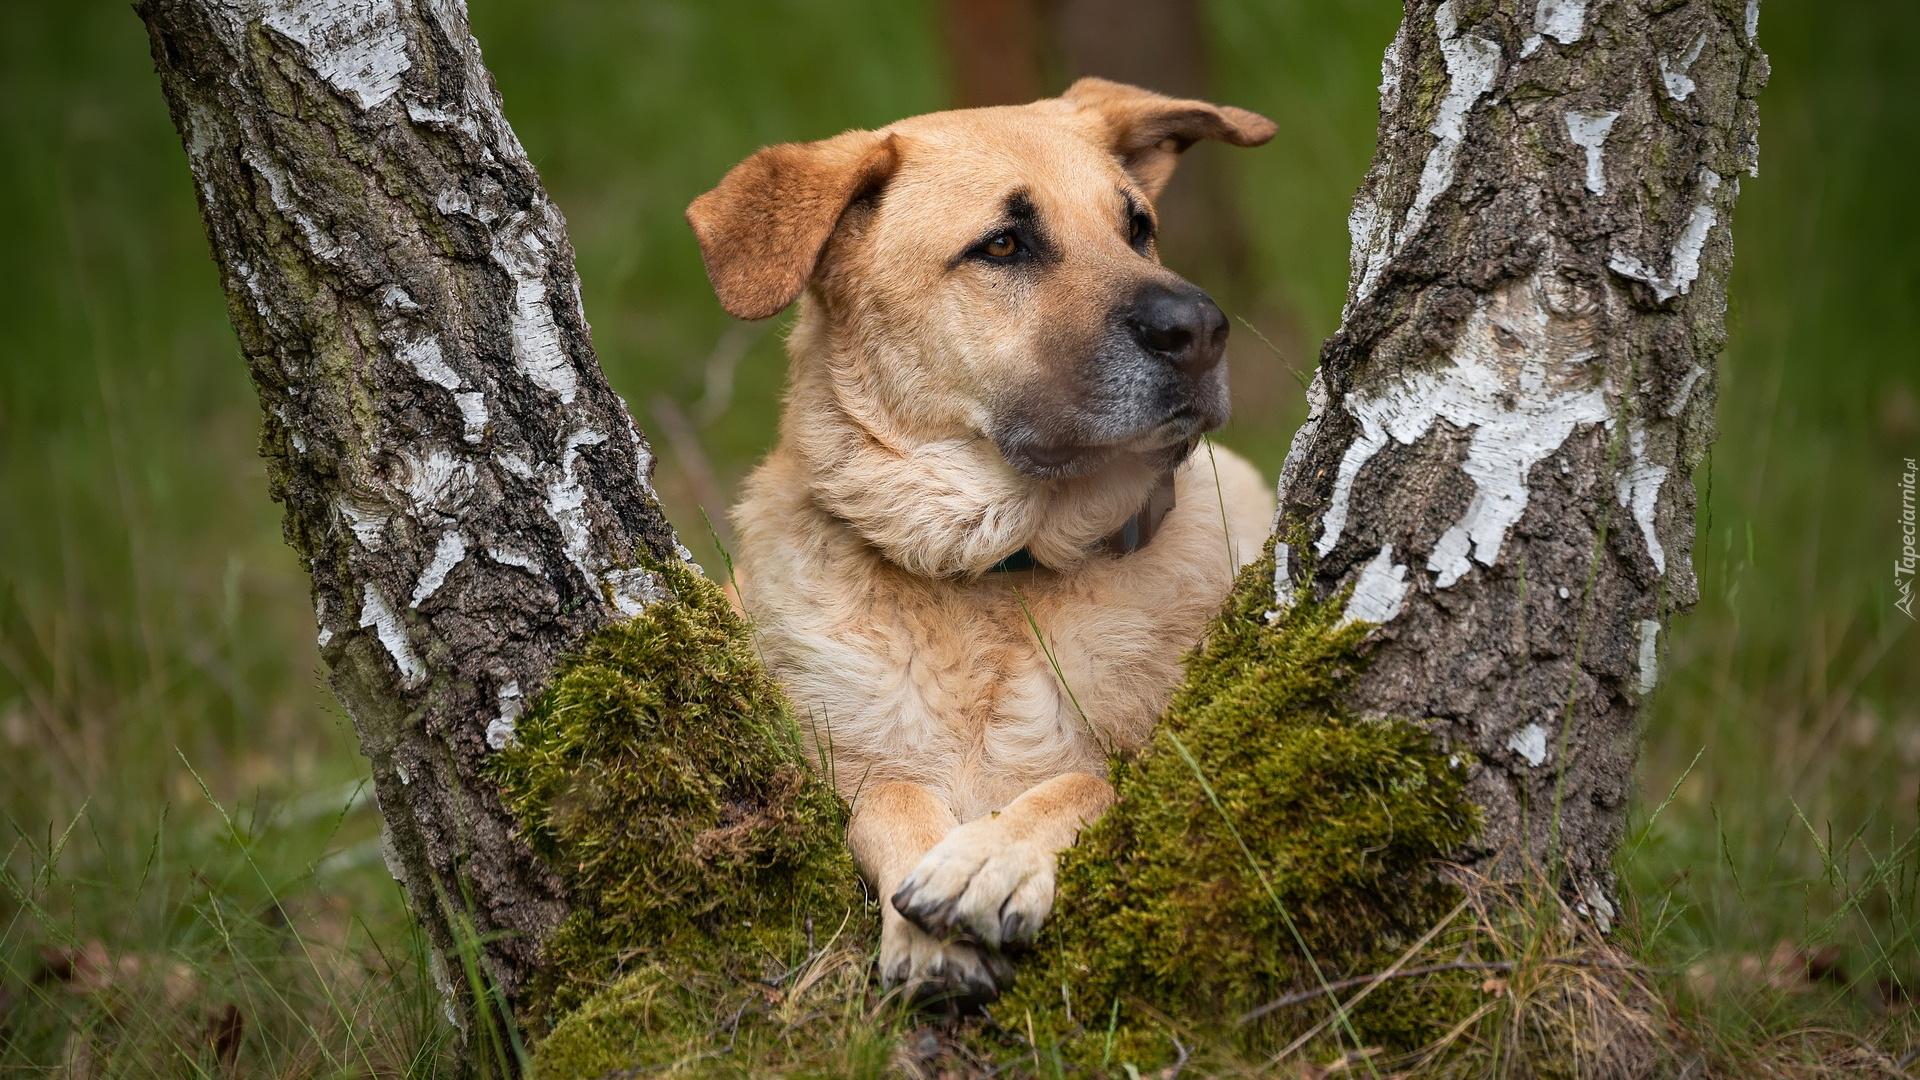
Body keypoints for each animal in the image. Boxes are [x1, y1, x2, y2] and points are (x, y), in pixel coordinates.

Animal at [683, 75, 1282, 999]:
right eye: (1002, 245)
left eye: (1138, 228)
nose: (1202, 330)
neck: (993, 575)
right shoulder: (841, 774)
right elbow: (889, 797)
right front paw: (927, 917)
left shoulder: (1151, 763)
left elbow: (1083, 786)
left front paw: (990, 857)